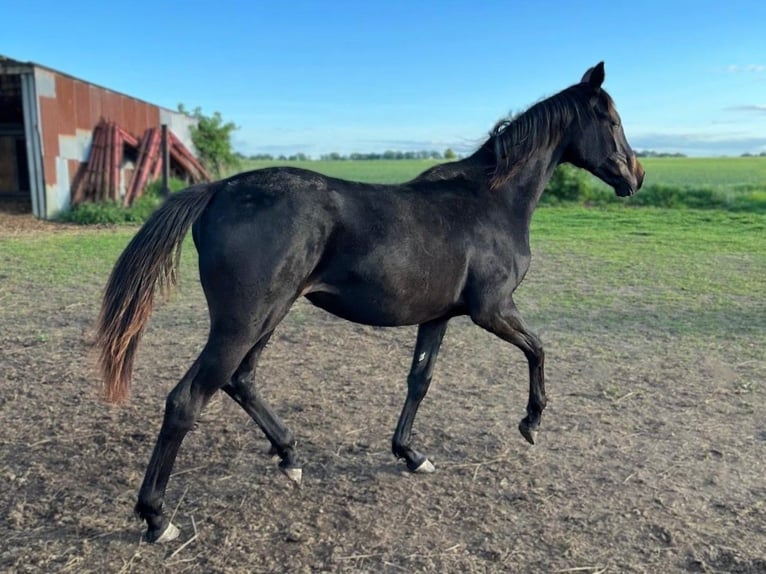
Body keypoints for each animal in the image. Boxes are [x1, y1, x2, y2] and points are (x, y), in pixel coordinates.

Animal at [97, 62, 644, 543]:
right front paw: (531, 422)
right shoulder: (493, 310)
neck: (491, 201)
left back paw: (290, 456)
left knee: (241, 380)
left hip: (267, 317)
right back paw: (156, 518)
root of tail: (218, 190)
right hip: (243, 323)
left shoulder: (438, 317)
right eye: (611, 119)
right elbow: (538, 348)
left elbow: (420, 380)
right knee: (187, 400)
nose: (635, 176)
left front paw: (411, 454)